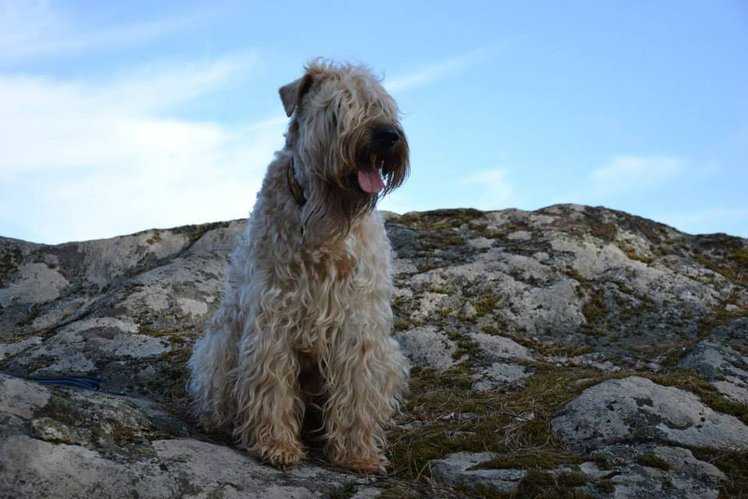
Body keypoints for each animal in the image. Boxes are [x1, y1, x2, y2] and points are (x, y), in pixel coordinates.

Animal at [187, 60, 410, 474]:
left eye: (384, 106)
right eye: (339, 108)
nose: (387, 136)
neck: (323, 219)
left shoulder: (359, 322)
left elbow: (357, 391)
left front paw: (357, 453)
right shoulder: (273, 314)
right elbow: (271, 383)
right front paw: (275, 445)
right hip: (221, 343)